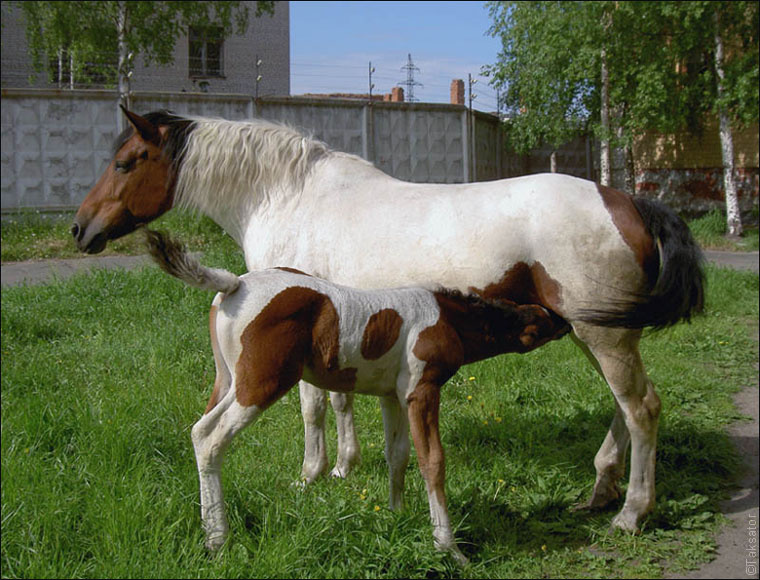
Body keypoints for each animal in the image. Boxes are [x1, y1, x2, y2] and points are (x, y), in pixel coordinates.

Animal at [144, 228, 570, 562]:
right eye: (542, 322)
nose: (566, 322)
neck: (445, 319)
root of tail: (234, 284)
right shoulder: (422, 391)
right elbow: (432, 461)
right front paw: (448, 547)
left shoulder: (392, 395)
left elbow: (397, 454)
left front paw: (397, 515)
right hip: (261, 385)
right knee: (210, 438)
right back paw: (219, 539)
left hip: (228, 382)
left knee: (199, 432)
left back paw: (210, 530)